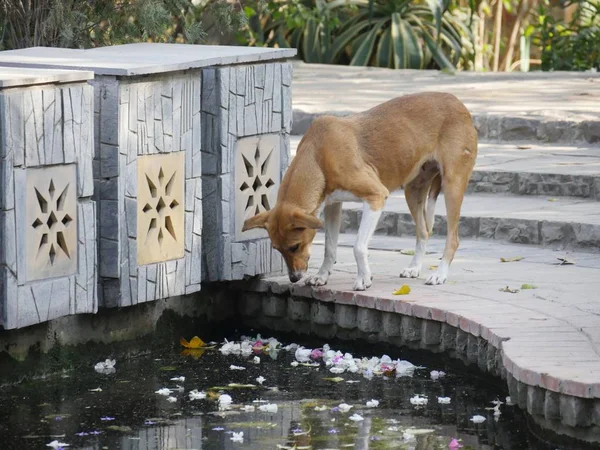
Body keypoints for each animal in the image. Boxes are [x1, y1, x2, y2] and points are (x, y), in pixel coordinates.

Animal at [241, 92, 476, 290]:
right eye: (277, 249)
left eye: (294, 246)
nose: (293, 278)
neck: (318, 155)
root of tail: (458, 102)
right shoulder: (332, 206)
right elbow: (330, 248)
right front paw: (322, 276)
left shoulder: (376, 197)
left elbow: (358, 246)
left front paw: (363, 279)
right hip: (413, 190)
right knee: (423, 232)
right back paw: (414, 268)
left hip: (452, 185)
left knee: (452, 239)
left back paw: (440, 275)